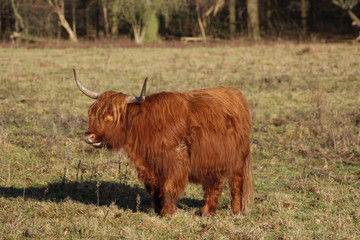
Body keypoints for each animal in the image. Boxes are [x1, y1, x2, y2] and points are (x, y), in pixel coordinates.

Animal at [73, 69, 253, 216]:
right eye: (93, 113)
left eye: (111, 116)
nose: (89, 136)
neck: (145, 126)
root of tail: (236, 93)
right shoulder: (149, 165)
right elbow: (155, 188)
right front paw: (158, 210)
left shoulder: (175, 160)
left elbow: (168, 187)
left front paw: (167, 213)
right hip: (210, 158)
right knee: (213, 184)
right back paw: (207, 212)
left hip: (237, 161)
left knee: (236, 184)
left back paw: (235, 211)